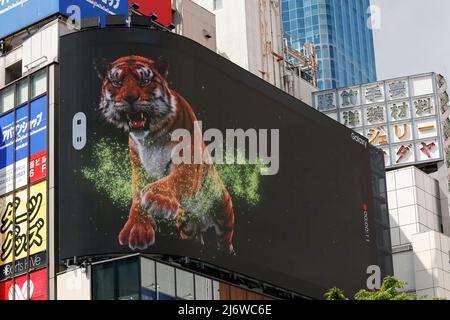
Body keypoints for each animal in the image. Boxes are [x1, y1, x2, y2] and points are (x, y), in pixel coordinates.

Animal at [94, 55, 236, 255]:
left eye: (144, 81)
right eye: (116, 82)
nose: (130, 98)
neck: (150, 137)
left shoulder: (189, 159)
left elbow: (177, 178)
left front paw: (158, 198)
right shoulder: (138, 165)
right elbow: (137, 194)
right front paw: (138, 228)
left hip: (222, 207)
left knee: (224, 238)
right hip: (188, 225)